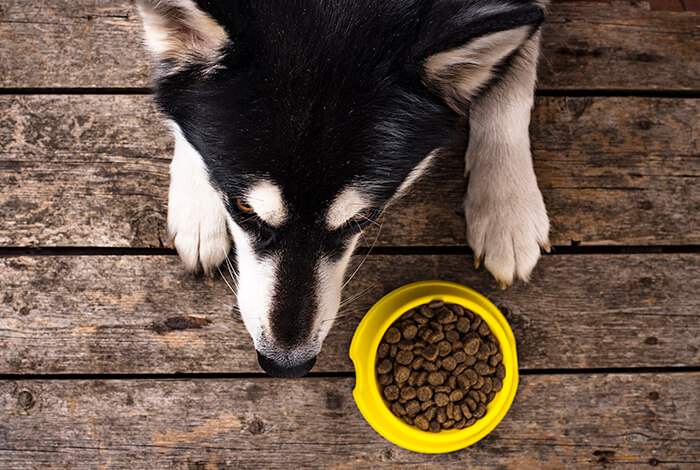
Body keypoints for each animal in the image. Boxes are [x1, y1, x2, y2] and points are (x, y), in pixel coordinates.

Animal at [134, 0, 548, 376]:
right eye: (243, 207)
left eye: (363, 216)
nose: (286, 366)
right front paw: (197, 204)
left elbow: (513, 76)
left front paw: (507, 210)